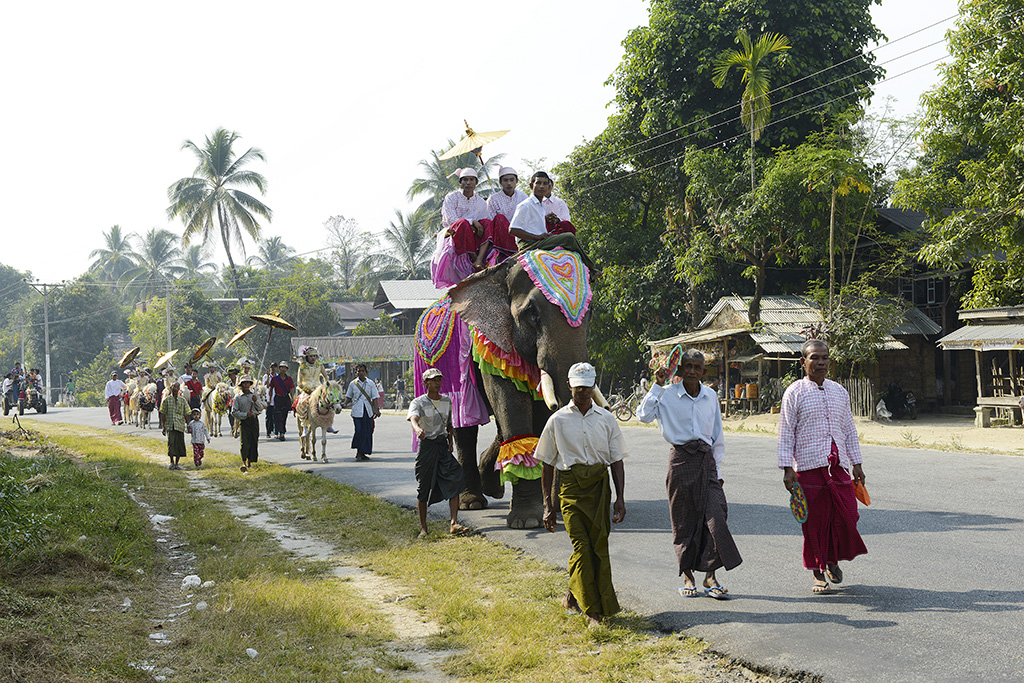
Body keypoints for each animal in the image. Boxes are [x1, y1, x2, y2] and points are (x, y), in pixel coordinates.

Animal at [413, 248, 593, 532]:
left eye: (591, 311)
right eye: (532, 313)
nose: (559, 507)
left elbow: (541, 414)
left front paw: (552, 511)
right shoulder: (489, 346)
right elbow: (510, 403)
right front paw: (527, 521)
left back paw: (492, 488)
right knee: (464, 429)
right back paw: (472, 501)